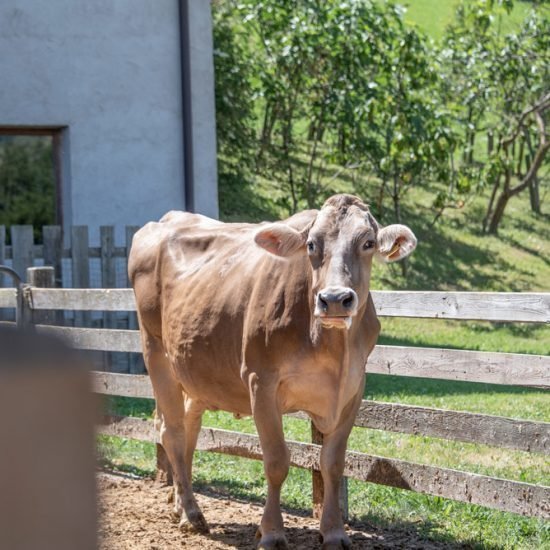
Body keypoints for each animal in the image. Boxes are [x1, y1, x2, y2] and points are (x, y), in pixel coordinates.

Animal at [127, 194, 416, 548]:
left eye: (368, 242)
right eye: (311, 244)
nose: (335, 299)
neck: (331, 347)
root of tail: (165, 220)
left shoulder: (353, 388)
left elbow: (333, 463)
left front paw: (334, 532)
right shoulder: (260, 382)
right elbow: (277, 461)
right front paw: (272, 532)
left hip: (195, 371)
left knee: (189, 432)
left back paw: (181, 503)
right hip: (156, 353)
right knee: (172, 432)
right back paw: (192, 515)